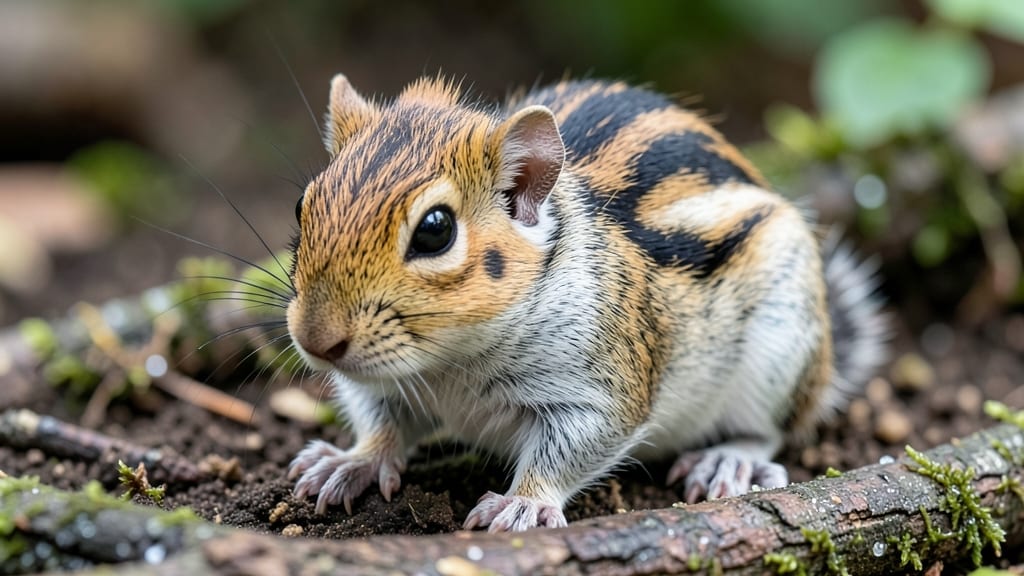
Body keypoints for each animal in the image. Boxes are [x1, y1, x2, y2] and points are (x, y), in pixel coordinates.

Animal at [285, 74, 887, 532]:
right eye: (302, 204)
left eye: (436, 231)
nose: (316, 341)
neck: (450, 361)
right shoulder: (386, 386)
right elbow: (380, 422)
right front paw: (351, 462)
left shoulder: (601, 385)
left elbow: (572, 448)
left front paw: (523, 504)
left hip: (778, 351)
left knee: (770, 428)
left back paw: (727, 459)